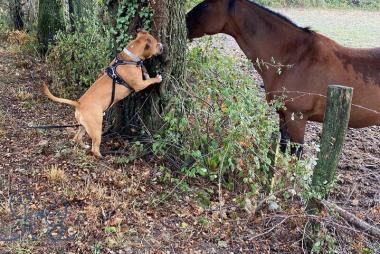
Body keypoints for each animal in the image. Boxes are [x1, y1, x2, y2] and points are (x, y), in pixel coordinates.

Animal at [186, 0, 380, 156]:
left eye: (206, 4)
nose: (185, 21)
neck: (295, 58)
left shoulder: (297, 119)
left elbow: (295, 155)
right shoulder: (283, 115)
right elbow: (283, 148)